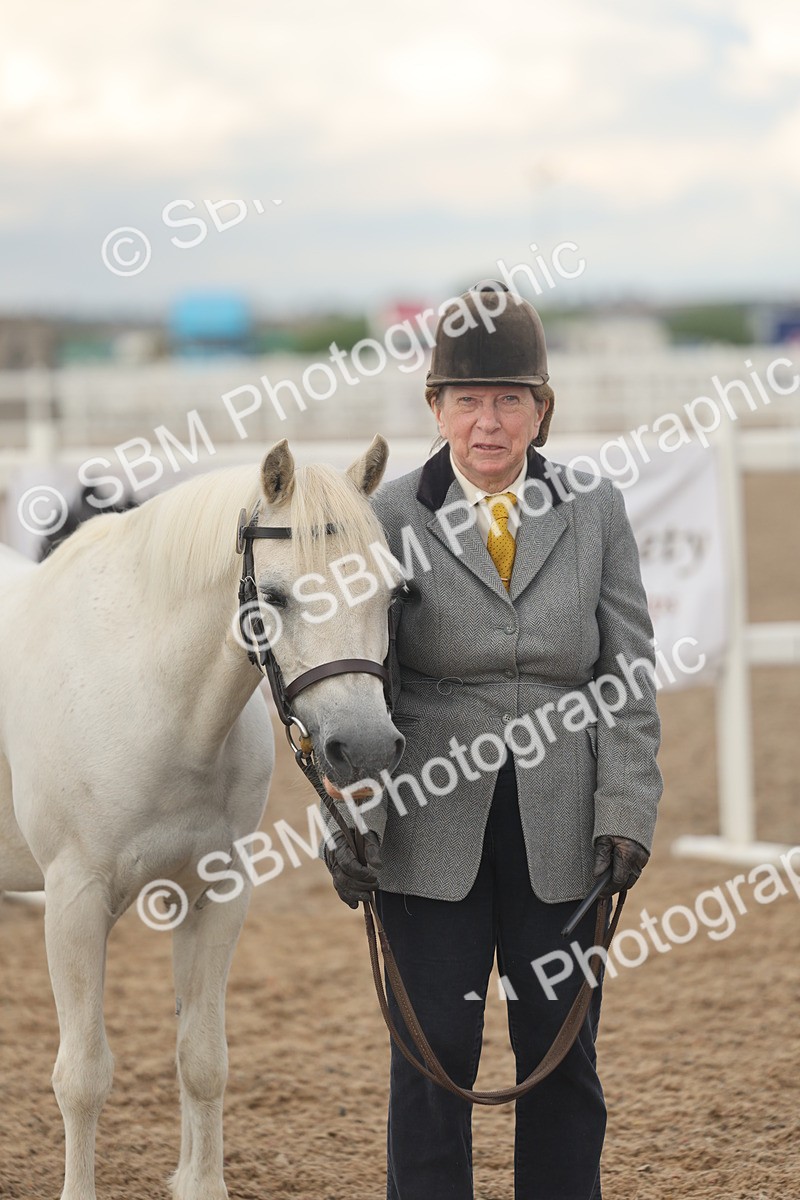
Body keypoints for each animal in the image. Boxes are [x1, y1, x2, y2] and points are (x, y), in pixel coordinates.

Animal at [0, 435, 403, 1200]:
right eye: (275, 596)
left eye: (393, 590)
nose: (363, 745)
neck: (146, 690)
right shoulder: (73, 901)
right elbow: (82, 1076)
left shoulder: (215, 893)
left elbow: (203, 1059)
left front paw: (199, 1181)